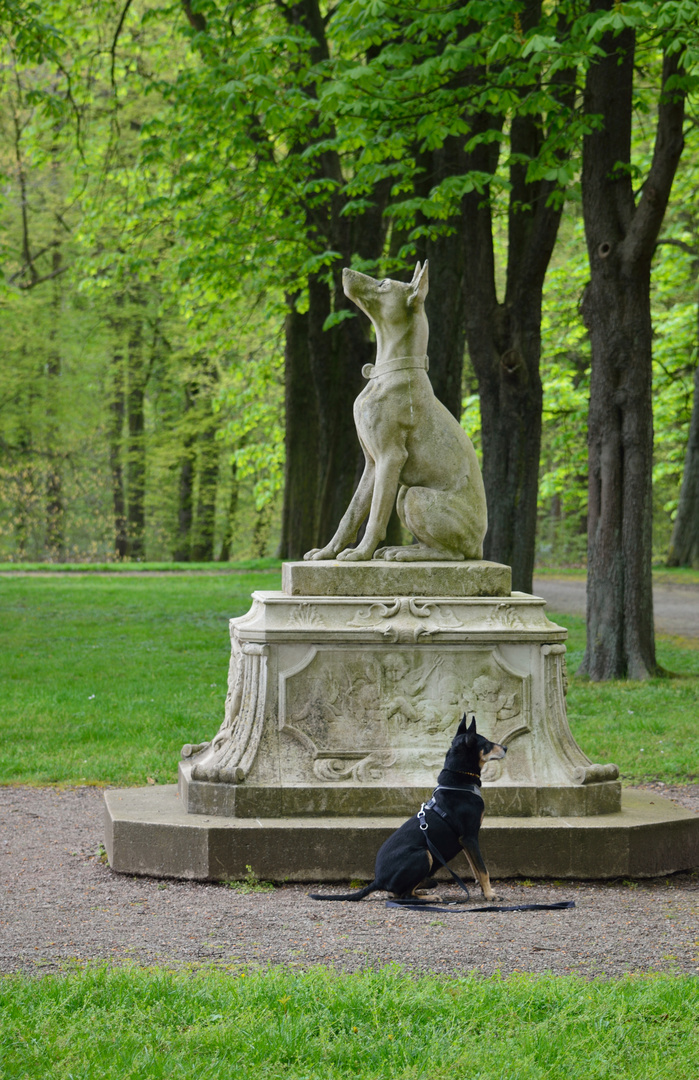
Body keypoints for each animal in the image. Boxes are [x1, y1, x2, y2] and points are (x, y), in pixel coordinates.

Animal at [308, 717, 505, 902]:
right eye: (487, 743)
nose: (505, 748)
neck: (459, 783)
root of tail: (378, 880)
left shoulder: (465, 841)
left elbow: (475, 868)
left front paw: (485, 892)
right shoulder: (470, 837)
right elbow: (483, 869)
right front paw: (490, 895)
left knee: (397, 893)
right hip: (423, 854)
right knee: (403, 895)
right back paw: (429, 897)